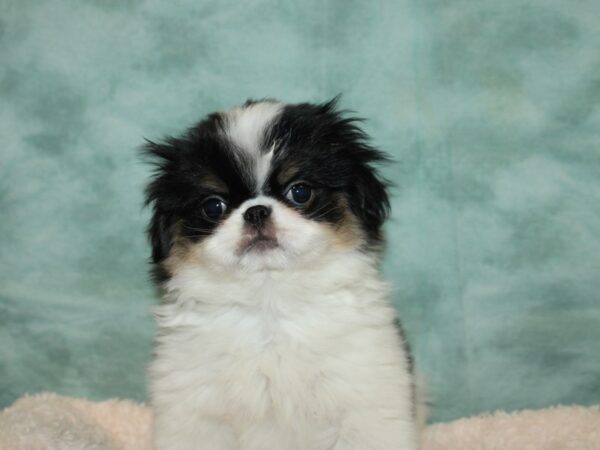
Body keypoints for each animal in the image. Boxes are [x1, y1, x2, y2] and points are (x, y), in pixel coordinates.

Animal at [144, 99, 420, 450]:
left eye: (299, 192)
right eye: (214, 206)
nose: (256, 211)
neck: (269, 300)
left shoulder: (364, 401)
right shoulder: (195, 411)